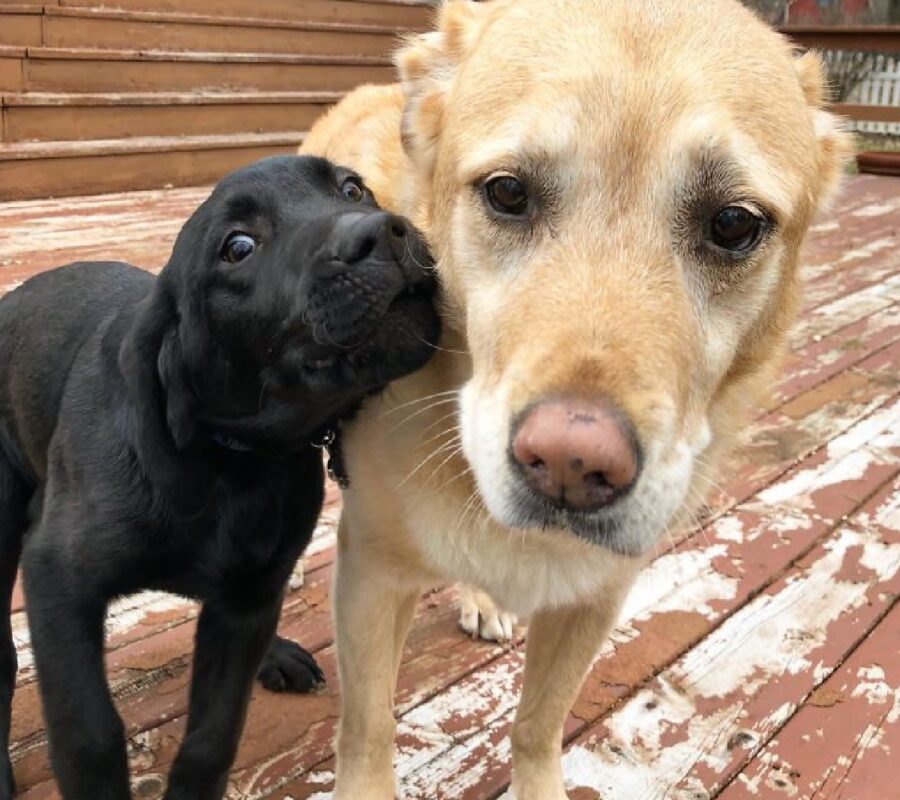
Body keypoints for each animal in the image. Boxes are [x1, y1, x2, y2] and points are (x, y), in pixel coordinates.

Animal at [0, 156, 438, 800]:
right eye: (238, 248)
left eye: (352, 189)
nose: (385, 232)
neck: (233, 463)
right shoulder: (58, 578)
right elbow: (89, 733)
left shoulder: (248, 598)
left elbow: (214, 734)